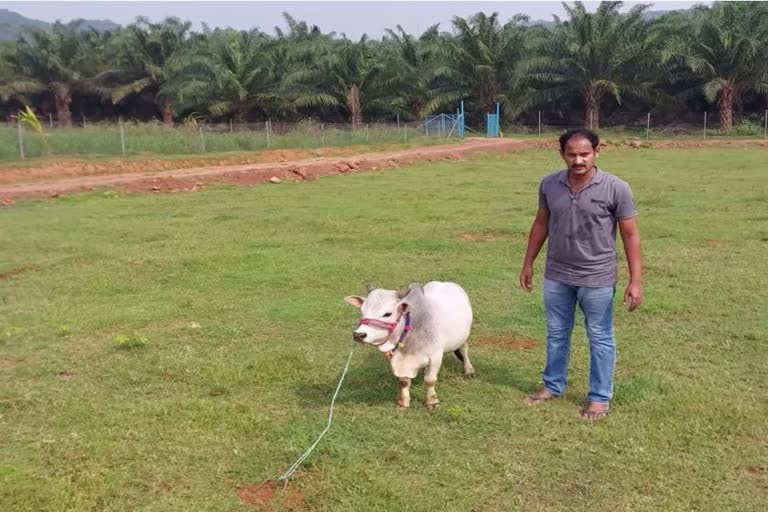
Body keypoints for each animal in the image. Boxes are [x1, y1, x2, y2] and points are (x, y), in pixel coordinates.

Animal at [344, 282, 474, 410]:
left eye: (387, 314)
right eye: (362, 312)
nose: (358, 334)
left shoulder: (435, 356)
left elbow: (430, 380)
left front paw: (432, 401)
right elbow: (404, 382)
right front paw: (403, 402)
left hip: (464, 336)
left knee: (464, 349)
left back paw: (469, 370)